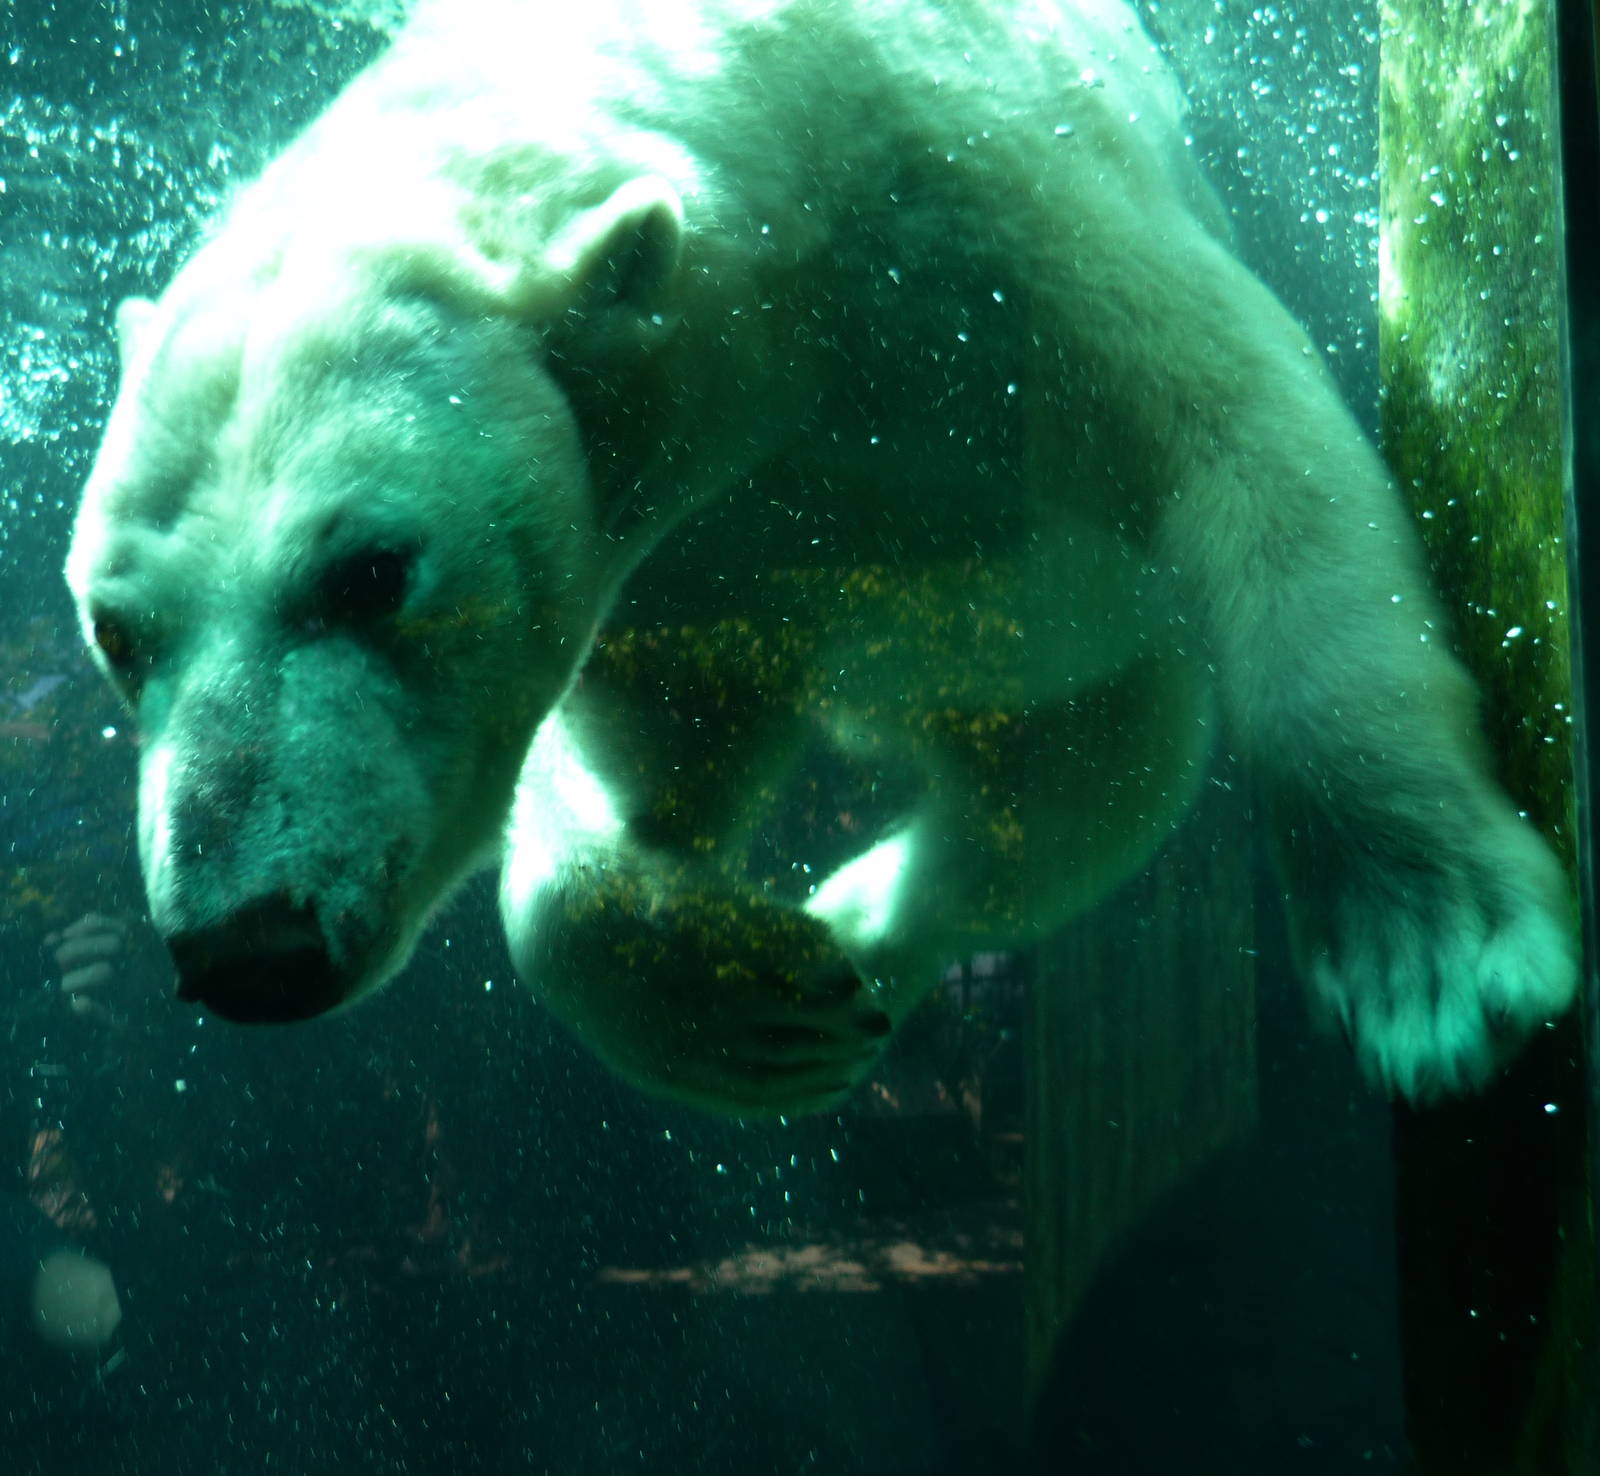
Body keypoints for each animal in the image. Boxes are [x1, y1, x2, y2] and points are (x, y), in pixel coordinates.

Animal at [67, 0, 1575, 1113]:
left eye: (371, 572)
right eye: (115, 632)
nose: (246, 944)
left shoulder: (1008, 225)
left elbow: (1259, 457)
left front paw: (1433, 965)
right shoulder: (688, 558)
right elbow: (651, 786)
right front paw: (738, 1004)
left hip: (1100, 669)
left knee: (1078, 795)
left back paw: (864, 921)